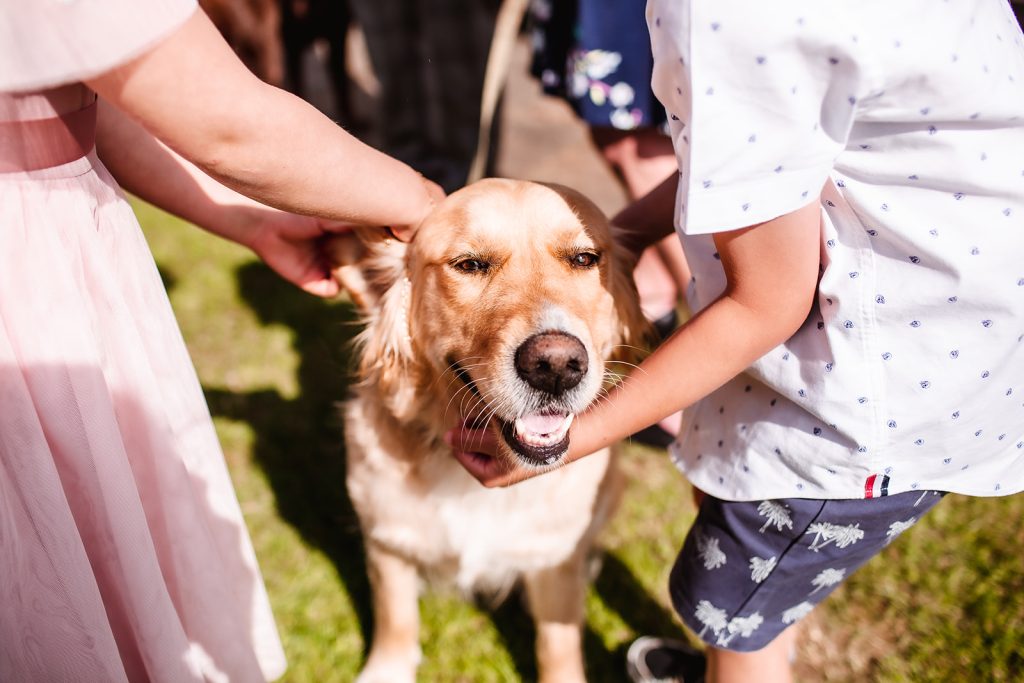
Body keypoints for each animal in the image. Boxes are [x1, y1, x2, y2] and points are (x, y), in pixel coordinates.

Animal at [331, 179, 643, 679]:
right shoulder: (387, 540)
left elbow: (558, 642)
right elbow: (395, 617)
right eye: (470, 265)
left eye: (584, 258)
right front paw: (386, 668)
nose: (556, 366)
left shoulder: (553, 558)